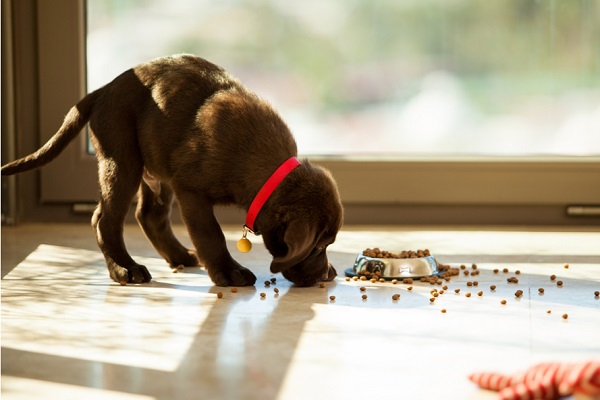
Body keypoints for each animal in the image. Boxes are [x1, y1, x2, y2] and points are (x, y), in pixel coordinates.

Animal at [2, 55, 342, 288]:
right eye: (318, 246)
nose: (326, 275)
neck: (266, 169)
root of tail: (102, 90)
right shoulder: (191, 190)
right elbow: (211, 234)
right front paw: (229, 271)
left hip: (155, 169)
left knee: (148, 215)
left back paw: (178, 256)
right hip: (122, 160)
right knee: (104, 219)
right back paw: (125, 269)